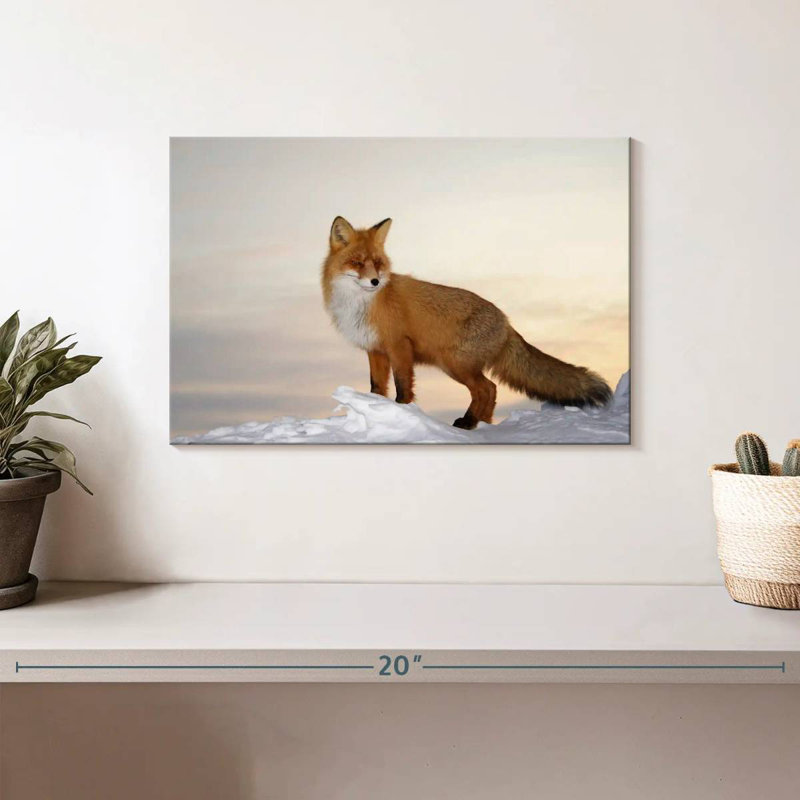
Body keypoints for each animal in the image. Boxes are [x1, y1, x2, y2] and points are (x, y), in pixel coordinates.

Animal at [321, 216, 612, 429]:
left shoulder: (399, 347)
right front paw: (376, 411)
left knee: (487, 389)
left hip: (455, 364)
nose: (375, 281)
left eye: (378, 263)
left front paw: (402, 412)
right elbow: (376, 387)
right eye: (357, 262)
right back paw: (482, 424)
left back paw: (469, 423)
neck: (361, 304)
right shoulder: (375, 349)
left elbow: (403, 386)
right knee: (491, 390)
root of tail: (506, 322)